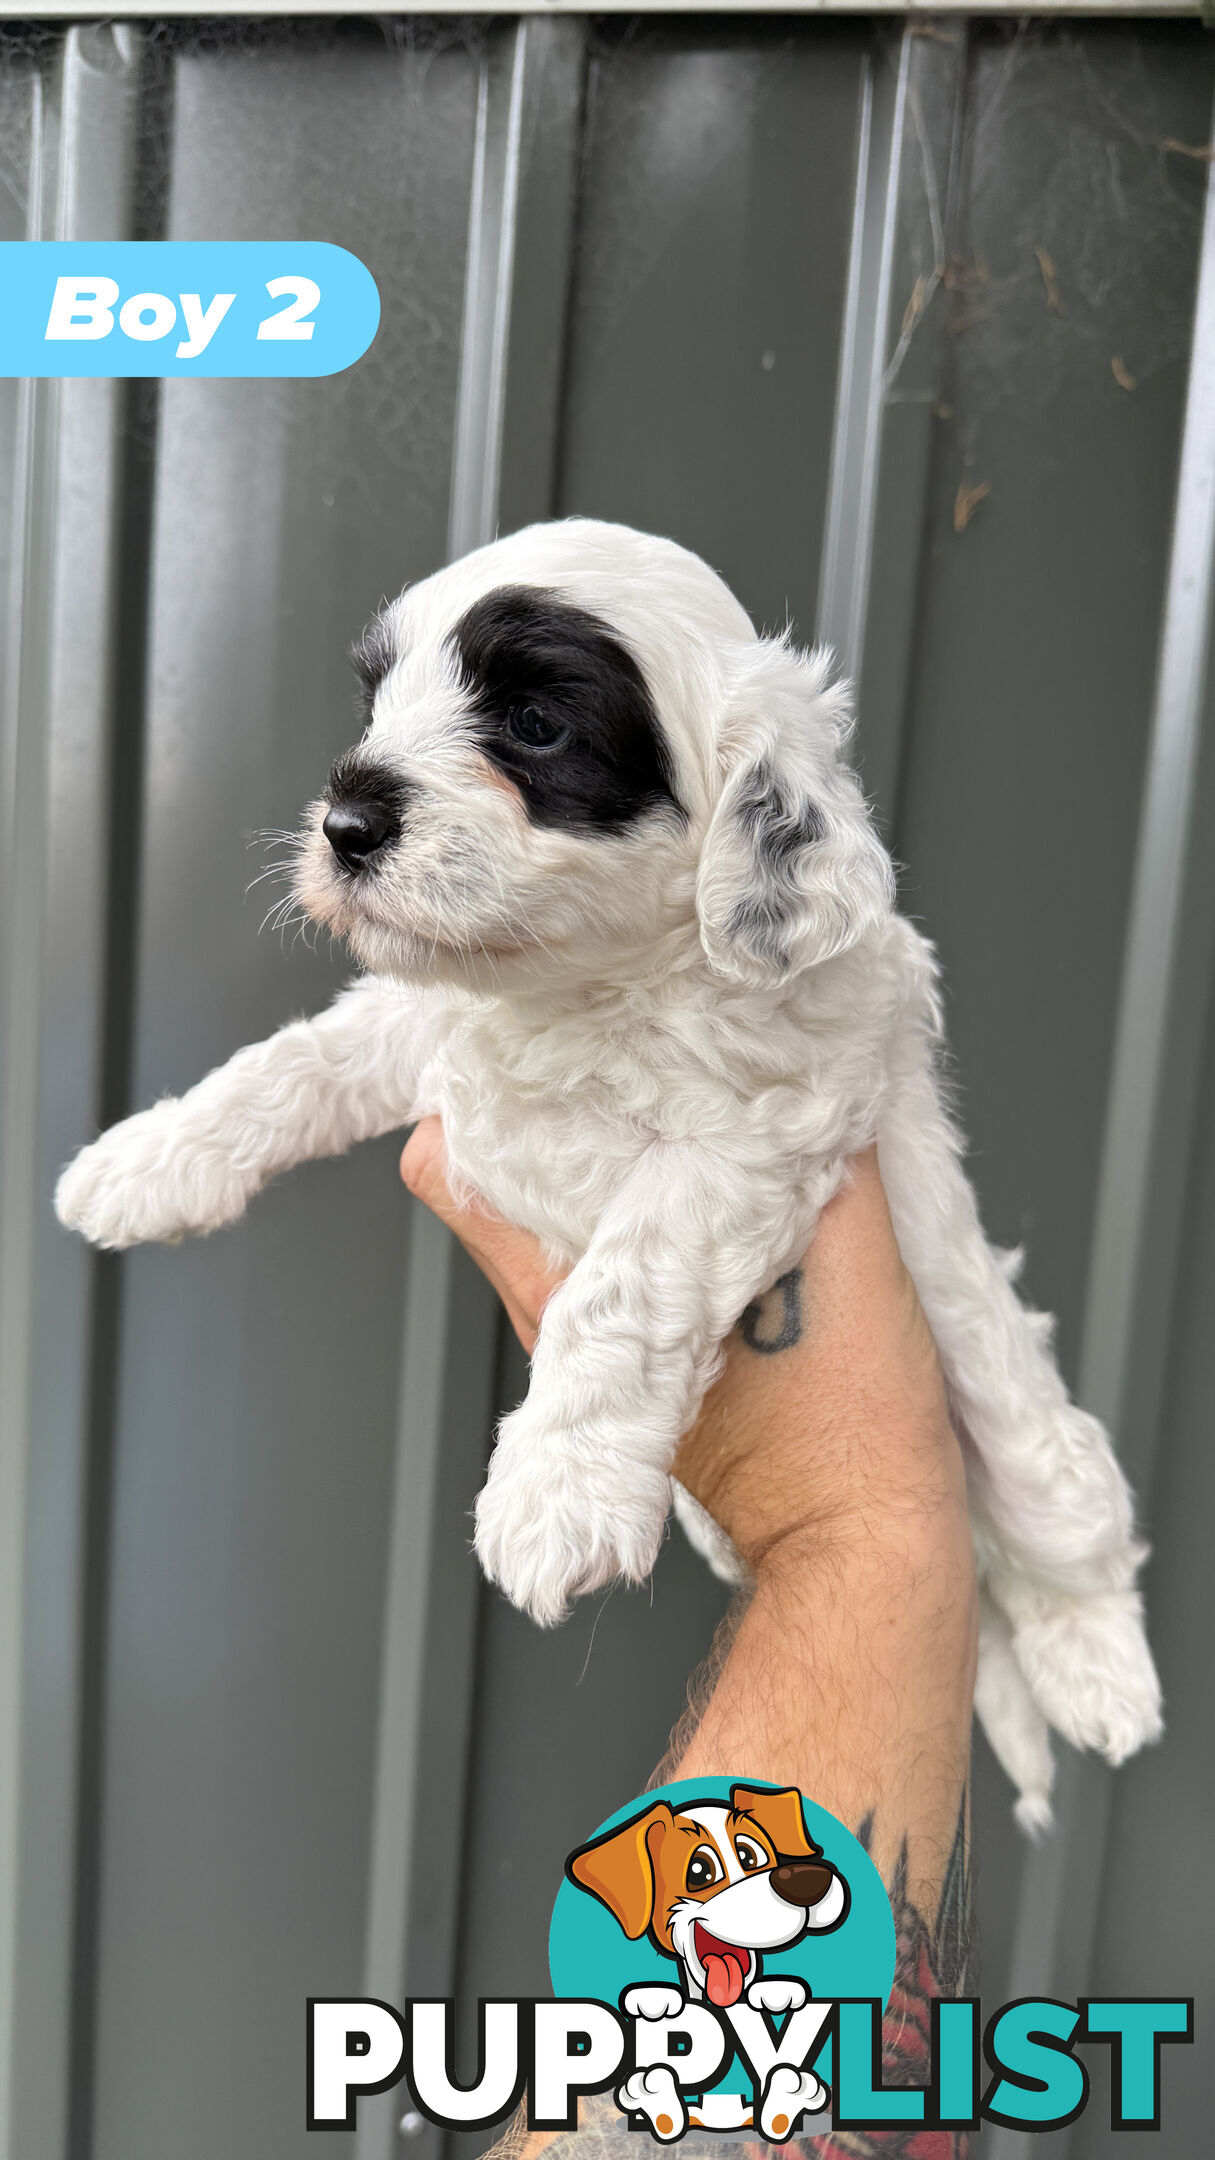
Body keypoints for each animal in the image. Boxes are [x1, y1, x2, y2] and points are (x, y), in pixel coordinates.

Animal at [59, 518, 1167, 1823]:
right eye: (380, 698)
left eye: (538, 724)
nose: (344, 823)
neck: (578, 993)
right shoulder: (426, 1036)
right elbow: (290, 1065)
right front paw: (142, 1163)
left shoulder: (756, 1130)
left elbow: (623, 1289)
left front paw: (558, 1492)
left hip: (1024, 1439)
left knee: (1074, 1548)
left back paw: (1105, 1683)